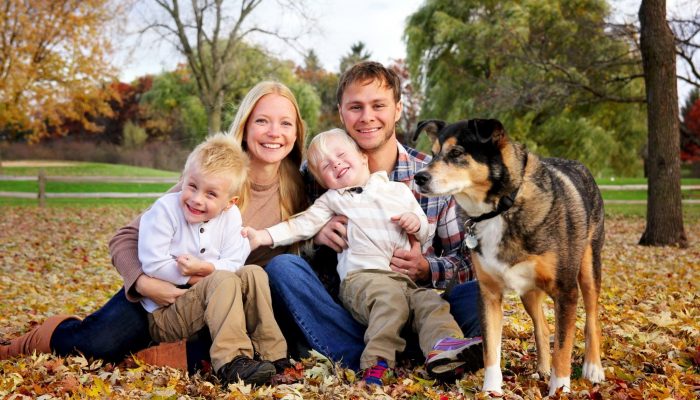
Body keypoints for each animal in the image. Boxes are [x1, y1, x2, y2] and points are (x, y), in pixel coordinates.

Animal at [412, 118, 604, 394]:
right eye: (433, 152)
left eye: (457, 153)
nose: (419, 177)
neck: (501, 208)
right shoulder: (489, 293)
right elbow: (491, 350)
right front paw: (491, 391)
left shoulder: (566, 291)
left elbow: (563, 348)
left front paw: (559, 390)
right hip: (528, 291)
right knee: (542, 326)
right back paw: (542, 368)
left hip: (588, 269)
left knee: (592, 319)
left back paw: (593, 367)